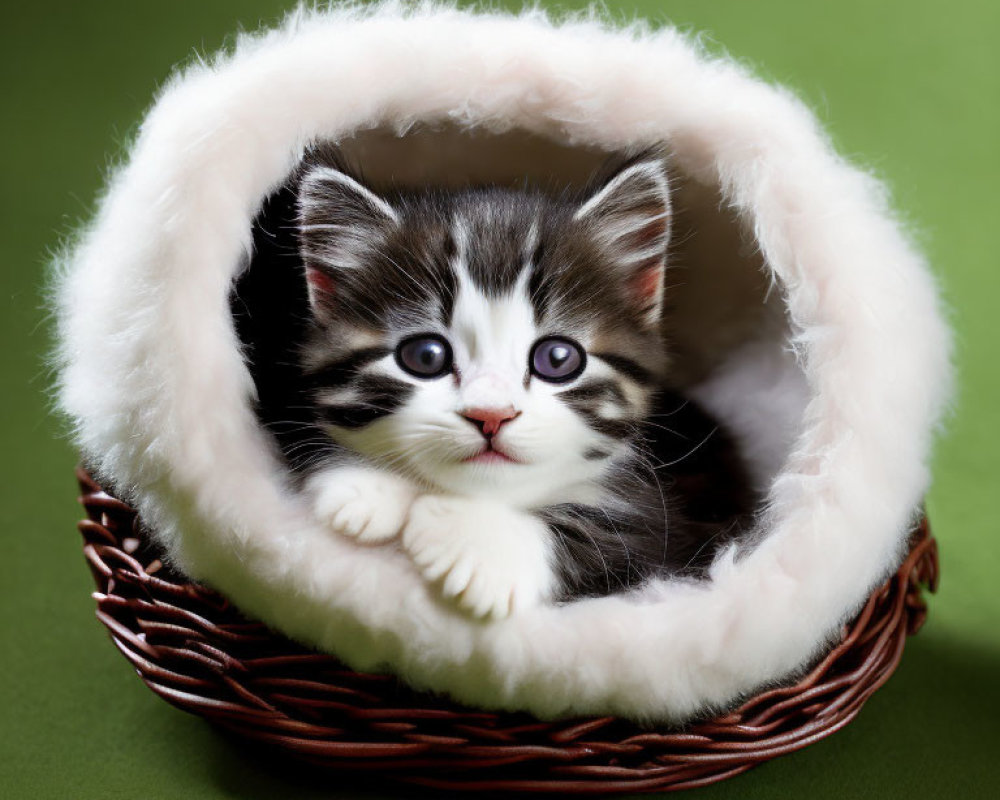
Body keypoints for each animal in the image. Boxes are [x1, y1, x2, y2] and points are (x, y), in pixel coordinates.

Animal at [242, 145, 752, 620]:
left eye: (558, 359)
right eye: (425, 357)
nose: (491, 415)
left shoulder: (670, 539)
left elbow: (615, 537)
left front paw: (479, 545)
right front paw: (368, 484)